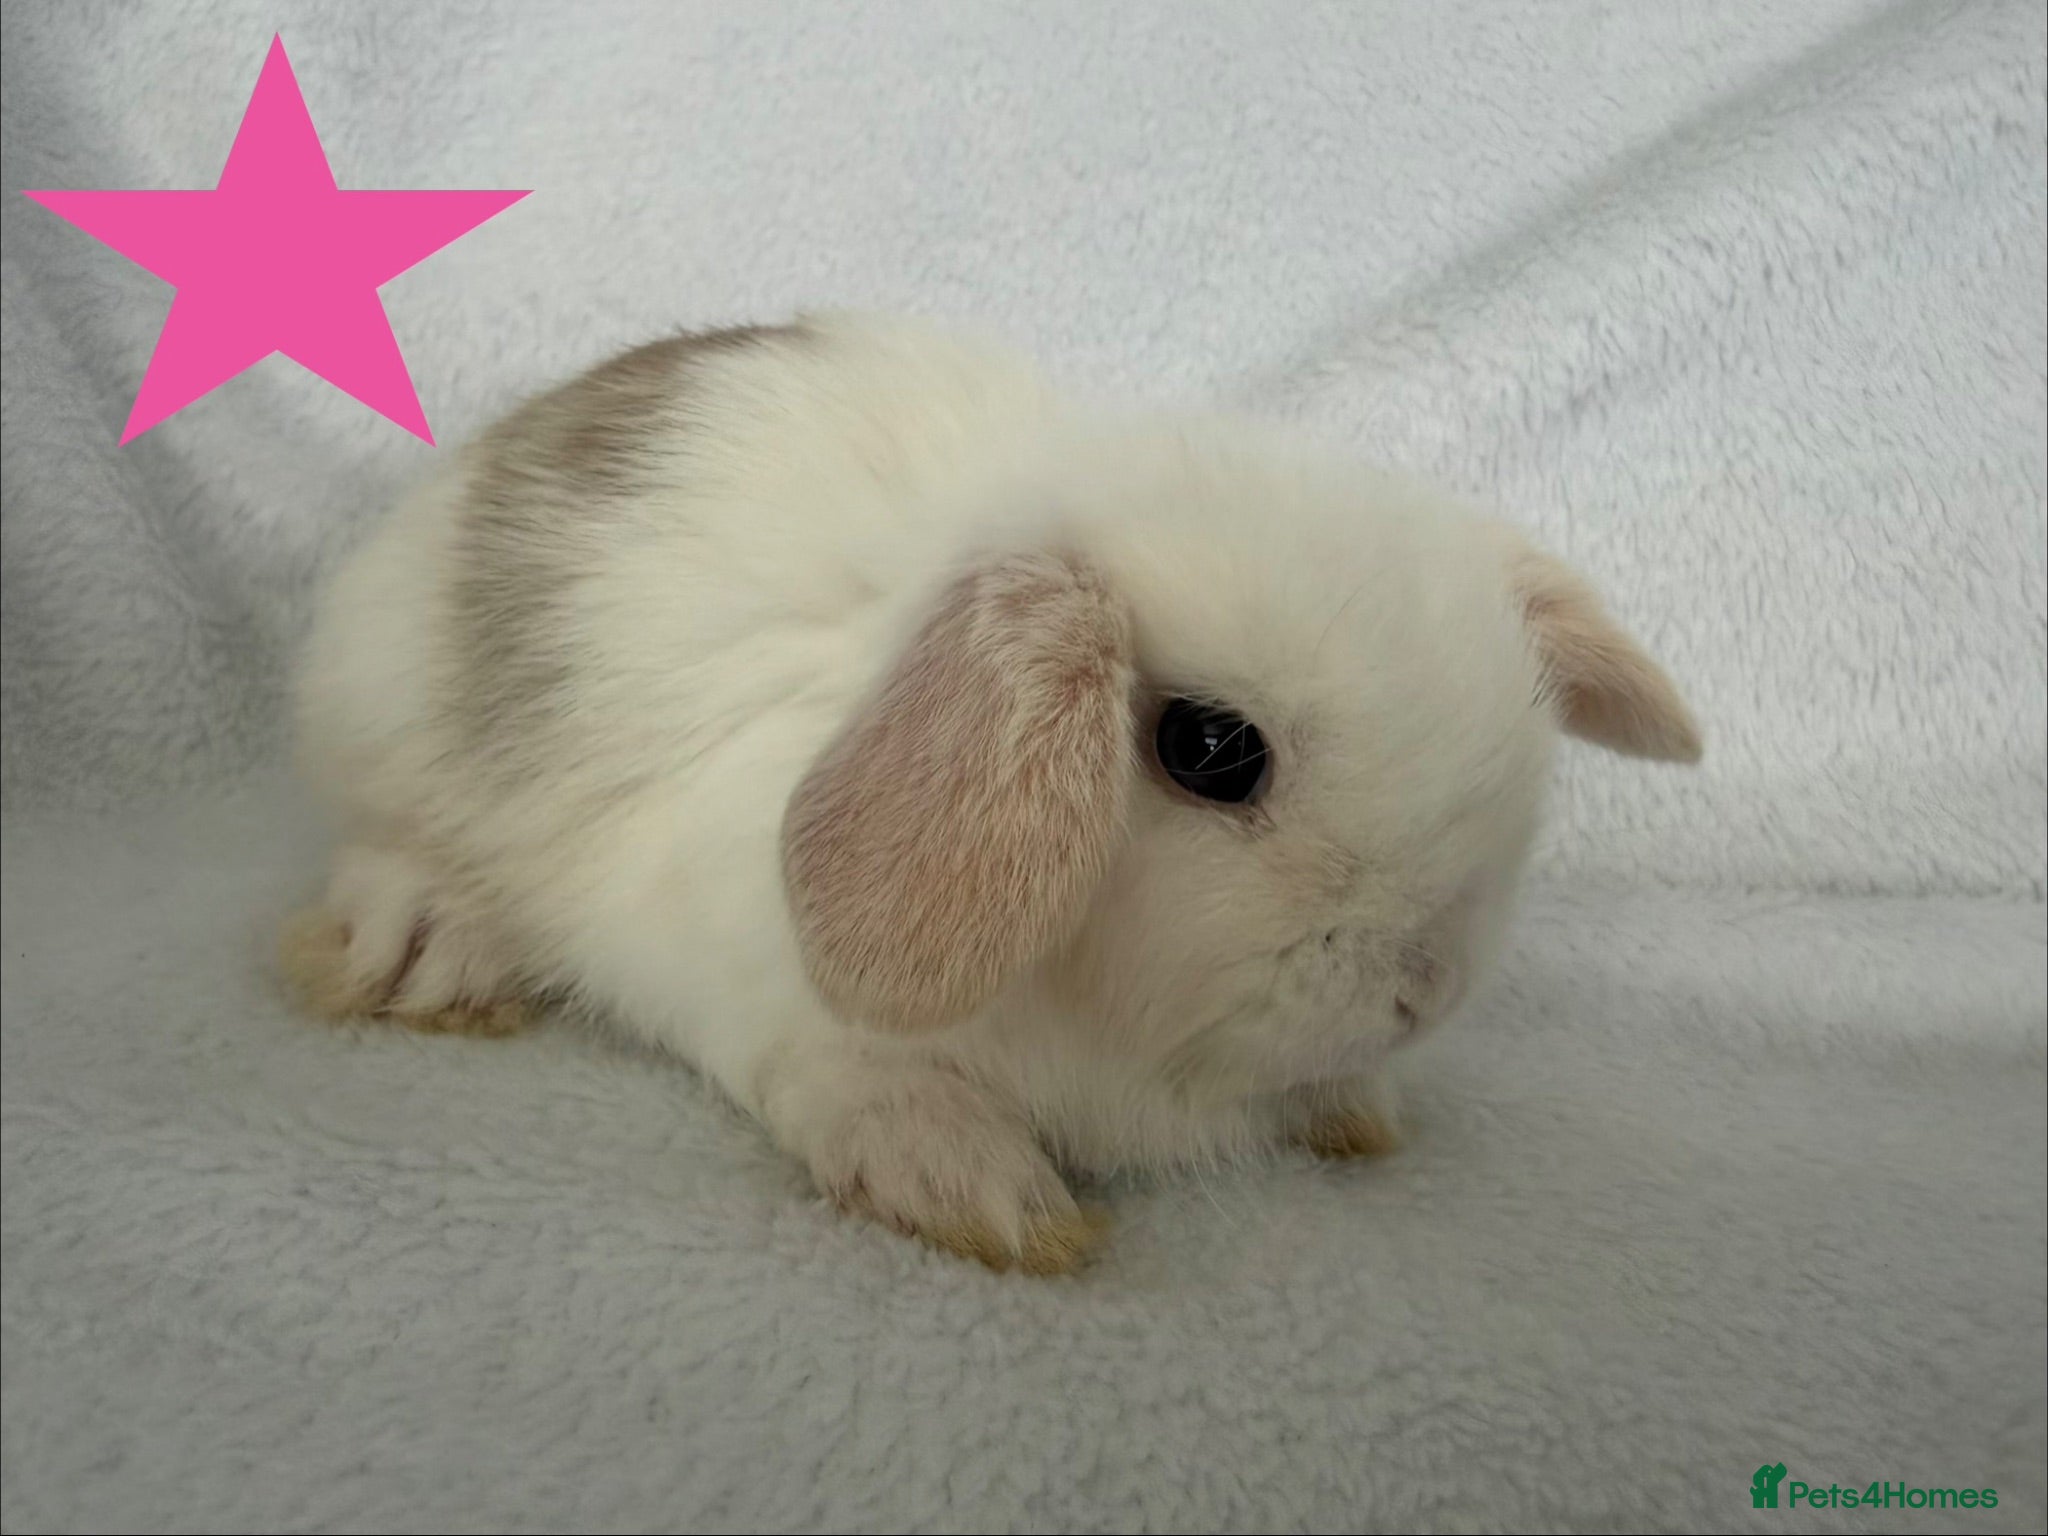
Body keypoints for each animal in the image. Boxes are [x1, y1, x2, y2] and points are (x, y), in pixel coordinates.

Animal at [282, 311, 1701, 1274]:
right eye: (1208, 749)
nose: (1422, 992)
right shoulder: (735, 971)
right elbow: (841, 1073)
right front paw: (977, 1191)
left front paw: (1354, 1109)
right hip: (383, 723)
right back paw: (423, 949)